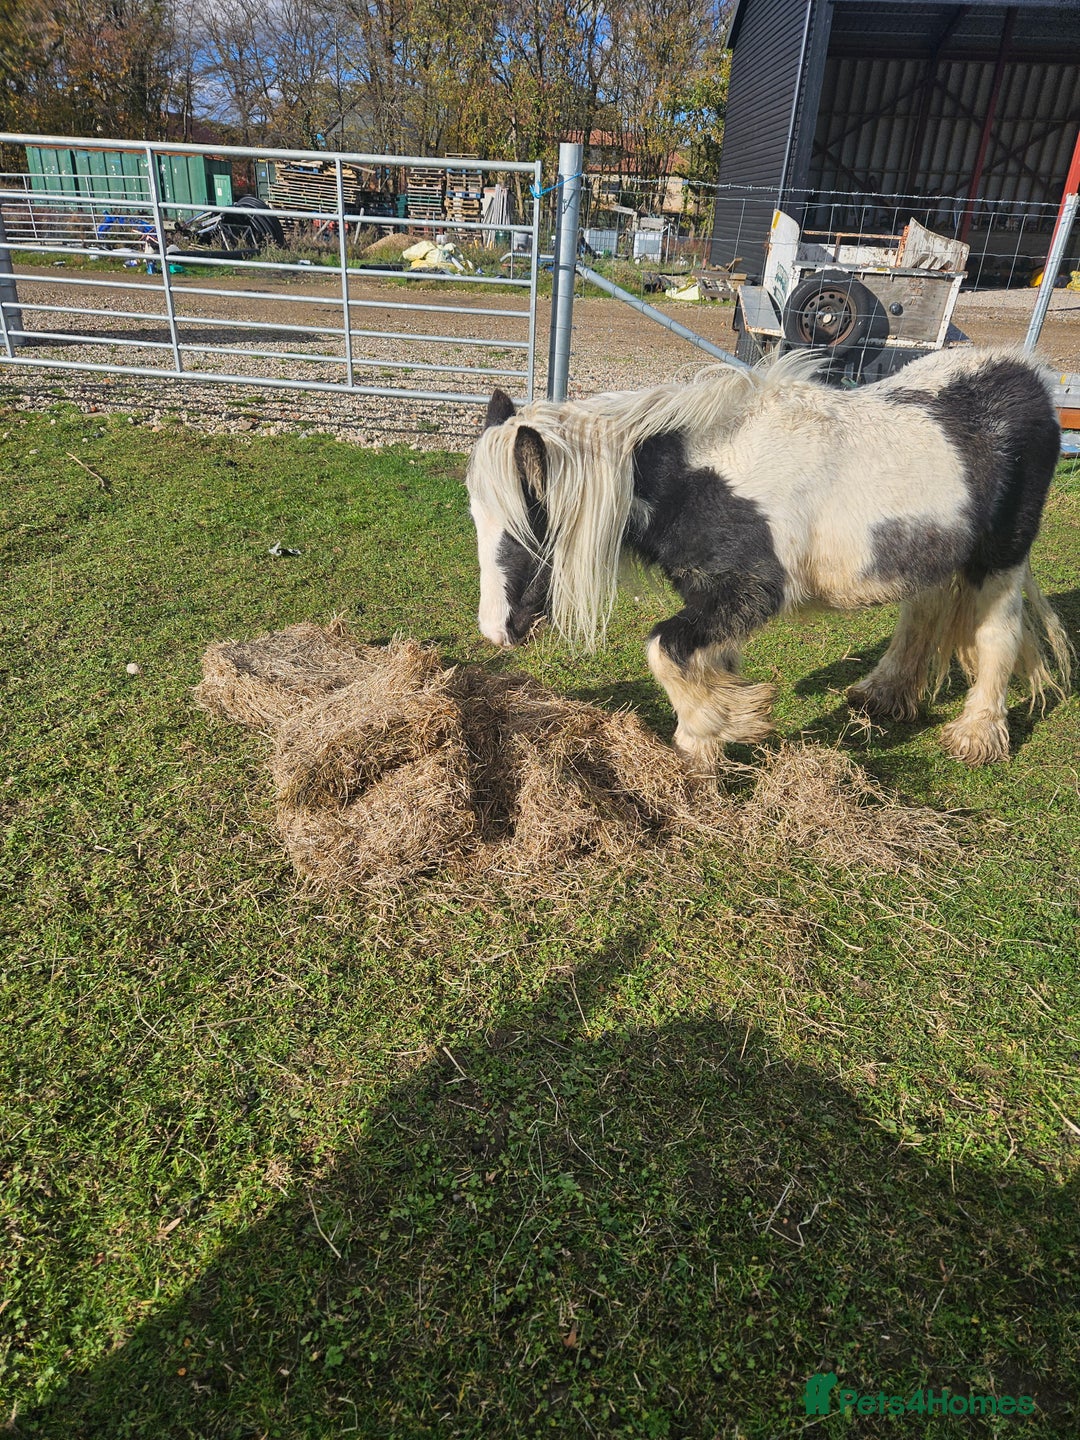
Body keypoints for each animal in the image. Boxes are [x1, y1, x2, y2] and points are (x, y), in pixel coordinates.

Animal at [464, 348, 1072, 768]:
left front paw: (725, 722)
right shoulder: (711, 597)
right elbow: (700, 659)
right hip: (928, 552)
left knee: (997, 634)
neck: (700, 479)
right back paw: (882, 695)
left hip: (1001, 559)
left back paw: (976, 735)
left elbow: (662, 648)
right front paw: (705, 746)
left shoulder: (753, 591)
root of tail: (1028, 374)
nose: (495, 631)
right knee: (920, 613)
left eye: (527, 529)